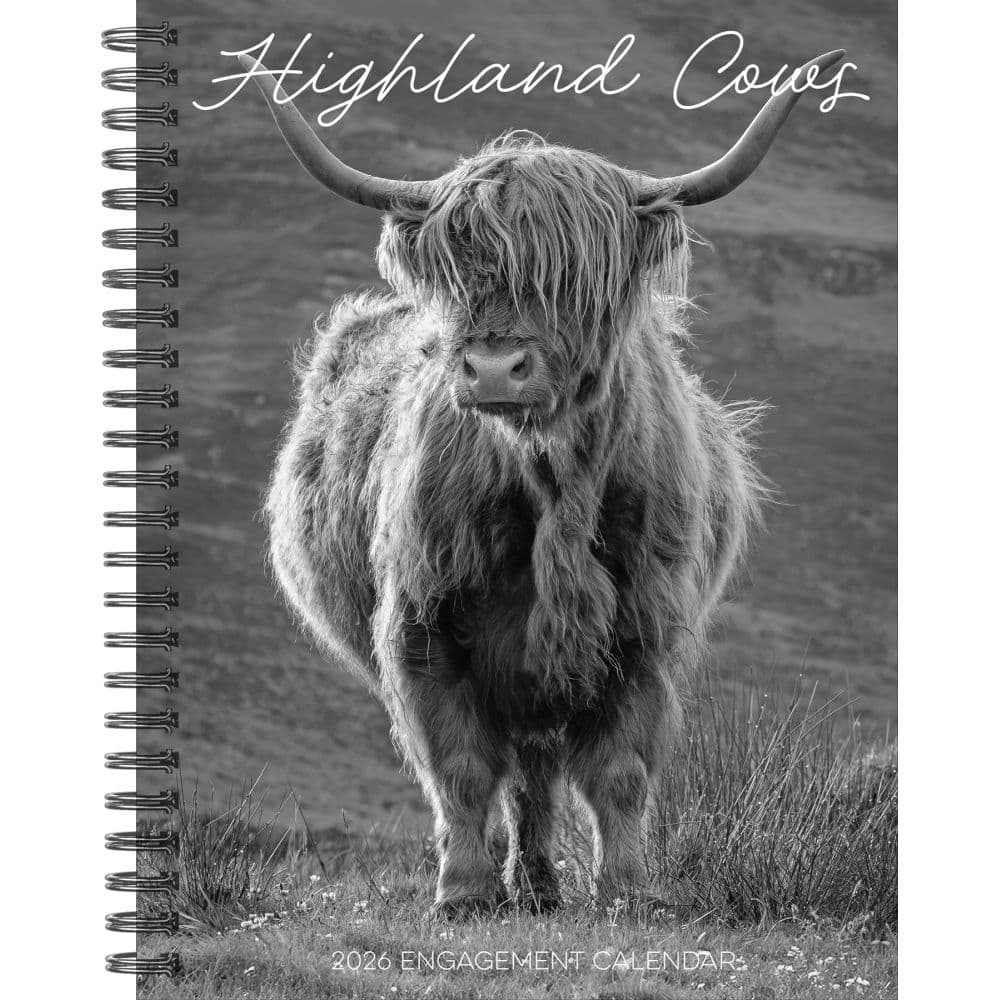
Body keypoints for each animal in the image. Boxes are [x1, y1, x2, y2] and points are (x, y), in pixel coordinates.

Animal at [246, 49, 843, 916]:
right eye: (461, 269)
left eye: (573, 276)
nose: (496, 367)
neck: (554, 482)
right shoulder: (423, 622)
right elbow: (460, 769)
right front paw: (462, 893)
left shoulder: (645, 627)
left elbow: (619, 772)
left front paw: (627, 891)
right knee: (521, 769)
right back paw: (522, 885)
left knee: (538, 769)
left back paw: (539, 886)